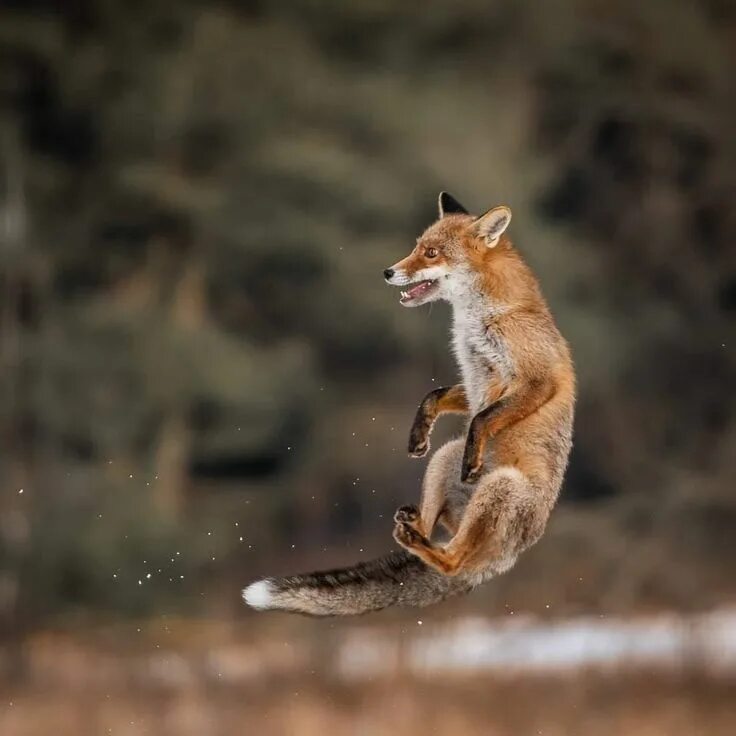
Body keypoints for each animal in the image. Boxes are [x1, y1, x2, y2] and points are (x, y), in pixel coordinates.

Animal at [242, 191, 576, 616]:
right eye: (416, 247)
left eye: (431, 253)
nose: (388, 272)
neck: (478, 320)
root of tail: (504, 560)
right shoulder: (473, 382)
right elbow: (435, 396)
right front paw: (419, 434)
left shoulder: (537, 378)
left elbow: (482, 418)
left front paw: (473, 458)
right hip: (445, 460)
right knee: (432, 529)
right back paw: (412, 527)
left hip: (500, 487)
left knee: (451, 561)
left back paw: (427, 539)